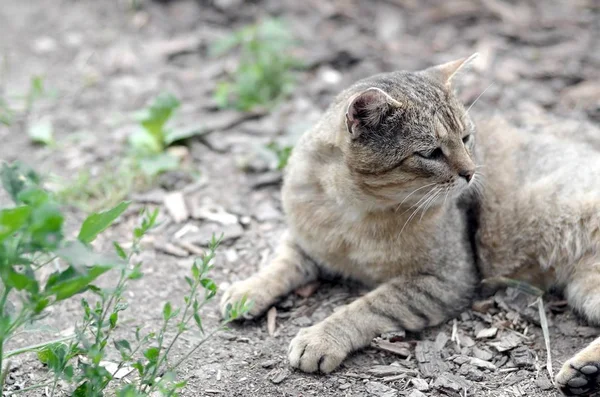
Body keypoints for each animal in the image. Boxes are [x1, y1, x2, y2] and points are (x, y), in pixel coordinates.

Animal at [220, 54, 600, 394]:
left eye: (465, 138)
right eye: (430, 153)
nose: (471, 172)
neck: (355, 213)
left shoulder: (445, 279)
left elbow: (369, 305)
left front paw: (321, 337)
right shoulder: (305, 241)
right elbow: (280, 263)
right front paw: (246, 290)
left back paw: (585, 371)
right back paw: (586, 373)